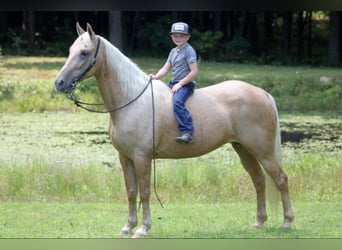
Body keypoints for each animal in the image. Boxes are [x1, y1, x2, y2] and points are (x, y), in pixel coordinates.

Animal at [54, 22, 294, 237]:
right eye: (70, 51)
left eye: (84, 53)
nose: (59, 83)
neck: (132, 100)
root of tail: (263, 94)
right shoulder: (125, 157)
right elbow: (131, 192)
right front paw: (128, 226)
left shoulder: (141, 157)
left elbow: (145, 192)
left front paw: (143, 228)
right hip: (243, 148)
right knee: (259, 180)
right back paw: (259, 222)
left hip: (262, 151)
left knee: (281, 180)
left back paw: (287, 222)